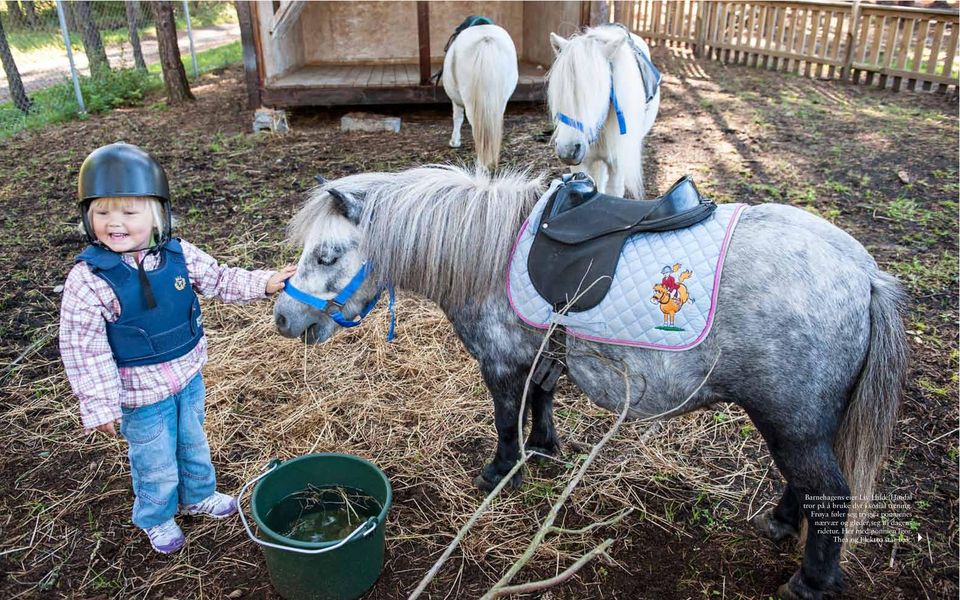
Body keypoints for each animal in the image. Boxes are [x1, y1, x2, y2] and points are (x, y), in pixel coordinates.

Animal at [272, 164, 908, 600]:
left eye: (326, 256)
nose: (283, 318)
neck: (489, 253)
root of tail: (864, 275)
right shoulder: (541, 357)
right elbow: (543, 401)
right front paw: (547, 450)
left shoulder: (500, 365)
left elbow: (506, 420)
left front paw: (502, 473)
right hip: (803, 424)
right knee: (808, 485)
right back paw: (779, 523)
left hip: (792, 423)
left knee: (831, 491)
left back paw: (811, 581)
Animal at [442, 21, 516, 170]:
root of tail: (486, 38)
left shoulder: (456, 101)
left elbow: (457, 118)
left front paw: (454, 142)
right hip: (500, 101)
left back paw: (482, 164)